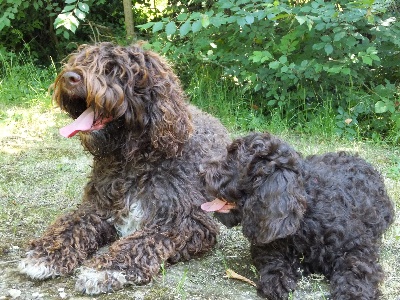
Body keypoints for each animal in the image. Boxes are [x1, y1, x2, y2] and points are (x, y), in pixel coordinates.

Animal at [18, 41, 231, 292]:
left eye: (113, 70)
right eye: (82, 60)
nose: (70, 77)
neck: (134, 161)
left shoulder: (186, 222)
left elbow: (141, 241)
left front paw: (106, 268)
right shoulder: (97, 207)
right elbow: (72, 224)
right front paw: (46, 252)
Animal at [203, 133, 394, 300]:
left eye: (232, 160)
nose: (201, 171)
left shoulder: (358, 246)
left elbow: (358, 268)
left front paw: (353, 294)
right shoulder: (267, 244)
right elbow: (272, 259)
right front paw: (277, 279)